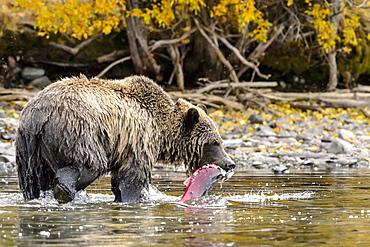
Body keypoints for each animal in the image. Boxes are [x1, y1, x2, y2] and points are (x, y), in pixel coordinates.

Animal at [15, 75, 234, 203]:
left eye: (220, 141)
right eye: (213, 142)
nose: (230, 163)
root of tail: (38, 118)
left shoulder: (124, 147)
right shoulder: (138, 140)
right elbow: (132, 178)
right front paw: (133, 198)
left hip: (29, 151)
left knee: (33, 182)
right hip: (79, 132)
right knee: (90, 164)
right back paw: (64, 190)